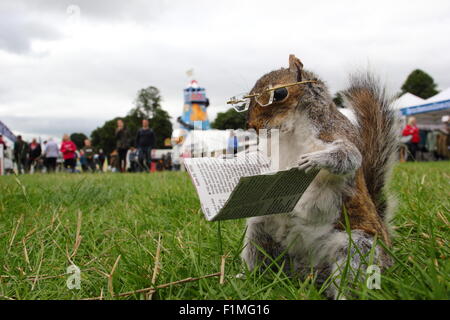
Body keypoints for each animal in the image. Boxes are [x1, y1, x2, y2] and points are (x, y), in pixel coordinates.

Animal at [241, 54, 400, 298]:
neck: (291, 132)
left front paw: (316, 160)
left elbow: (349, 156)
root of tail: (308, 271)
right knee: (259, 257)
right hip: (260, 232)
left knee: (351, 276)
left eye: (280, 93)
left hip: (358, 248)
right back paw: (245, 278)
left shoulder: (335, 134)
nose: (252, 126)